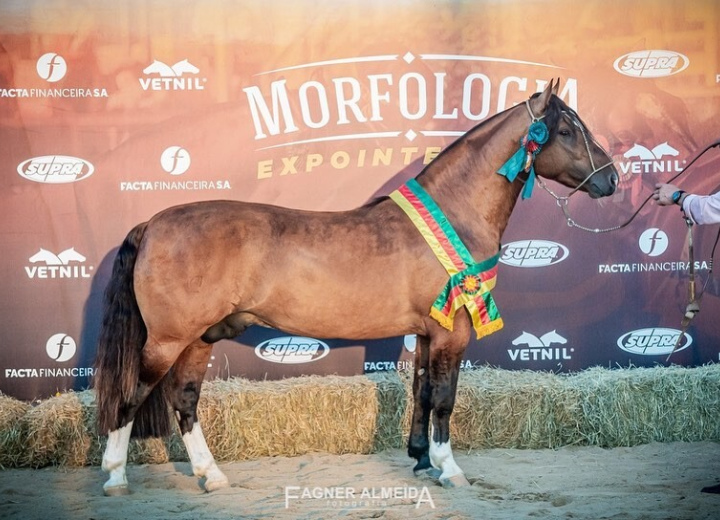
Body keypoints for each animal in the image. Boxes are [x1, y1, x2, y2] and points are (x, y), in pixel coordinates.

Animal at [91, 79, 620, 494]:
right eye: (566, 130)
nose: (612, 179)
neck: (453, 213)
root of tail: (153, 223)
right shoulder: (452, 331)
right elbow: (444, 398)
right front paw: (449, 468)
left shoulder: (426, 333)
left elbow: (422, 393)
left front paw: (421, 460)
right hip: (167, 339)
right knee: (131, 395)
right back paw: (116, 475)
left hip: (200, 337)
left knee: (184, 400)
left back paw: (211, 475)